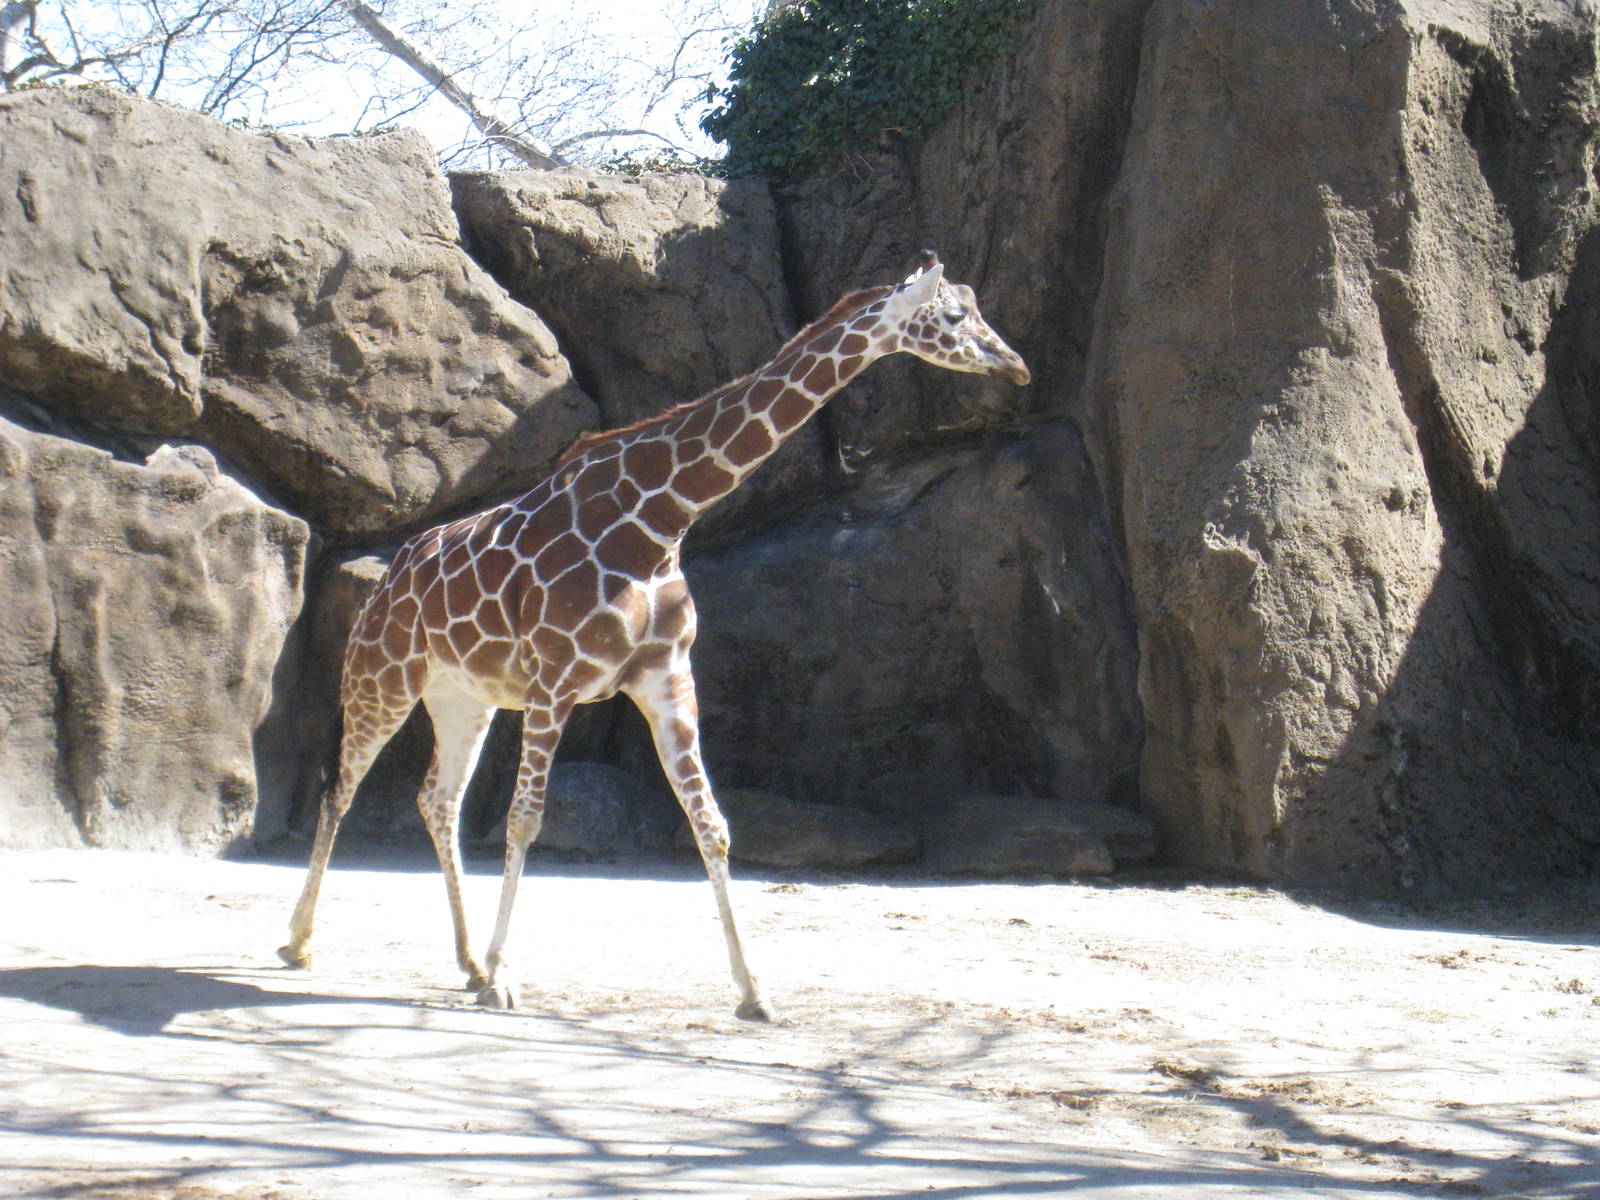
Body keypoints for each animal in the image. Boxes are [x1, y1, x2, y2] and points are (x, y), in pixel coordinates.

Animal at [278, 251, 1030, 1020]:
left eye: (975, 308)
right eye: (952, 316)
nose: (1017, 365)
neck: (662, 518)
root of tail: (388, 578)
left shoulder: (665, 677)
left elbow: (712, 824)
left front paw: (755, 991)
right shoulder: (556, 682)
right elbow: (525, 820)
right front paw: (507, 977)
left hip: (467, 698)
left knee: (437, 799)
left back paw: (464, 962)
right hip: (382, 680)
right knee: (342, 787)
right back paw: (302, 942)